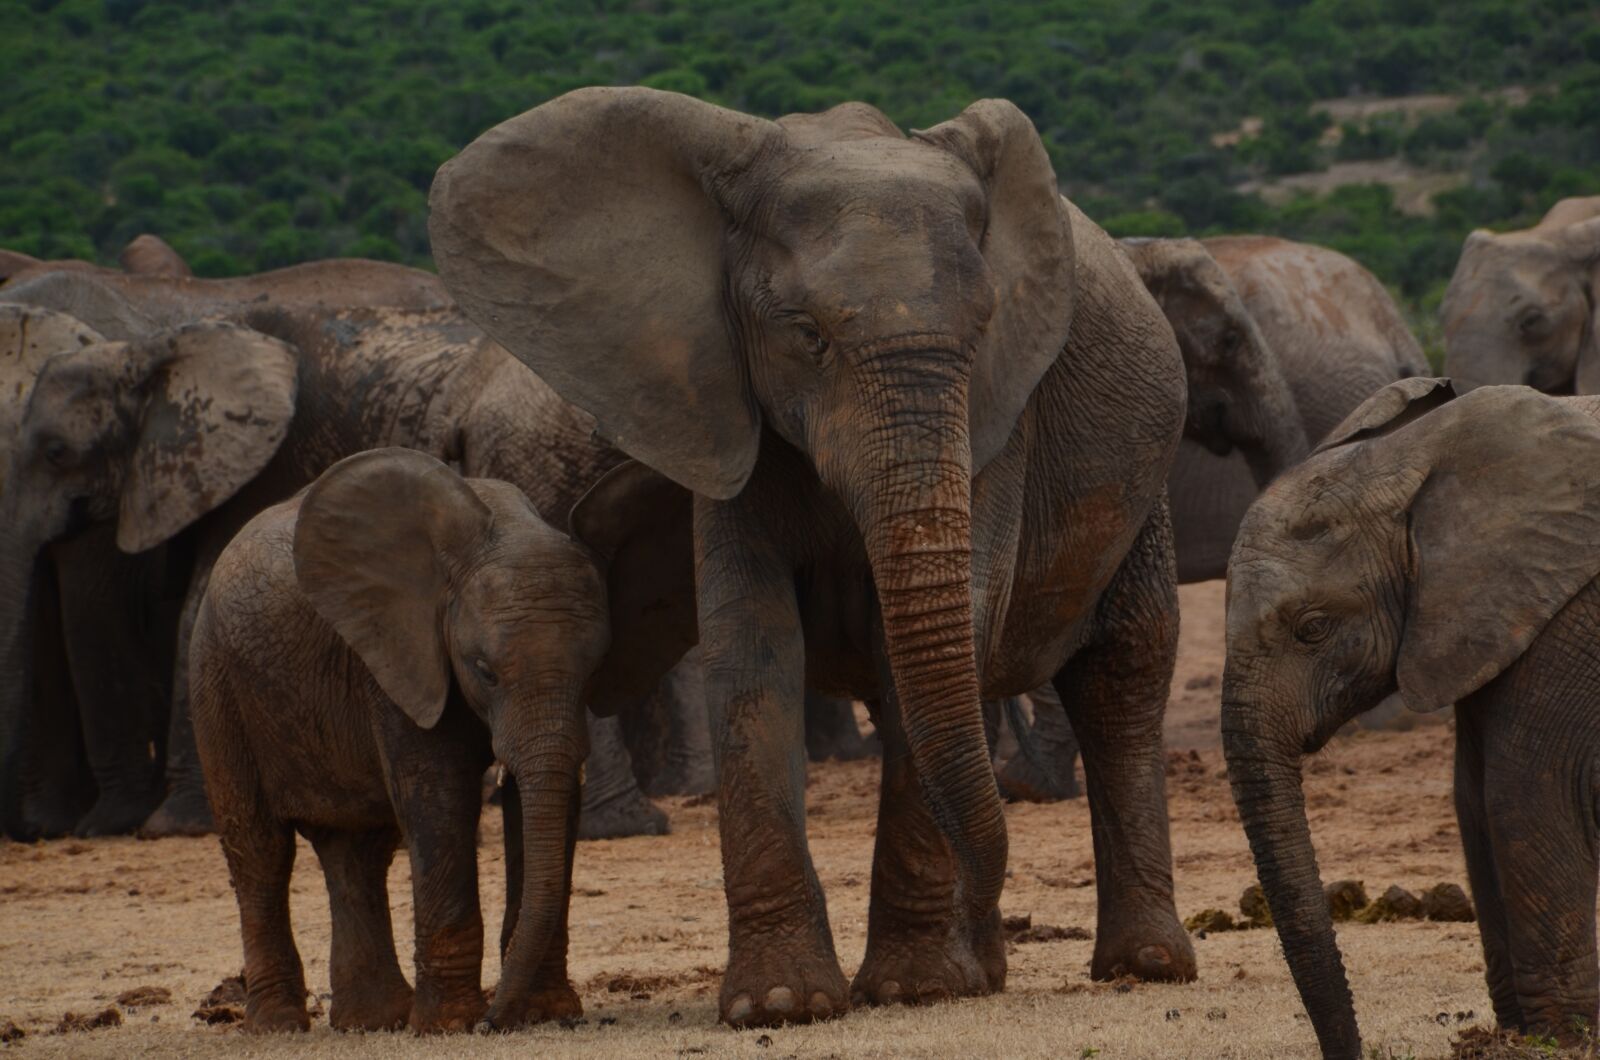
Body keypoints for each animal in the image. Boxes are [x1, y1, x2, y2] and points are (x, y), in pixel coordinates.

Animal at [191, 449, 693, 1033]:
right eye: (484, 670)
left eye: (595, 670)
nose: (493, 1022)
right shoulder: (400, 657)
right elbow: (439, 799)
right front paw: (450, 1026)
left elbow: (544, 803)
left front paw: (543, 1013)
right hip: (215, 679)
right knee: (259, 850)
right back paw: (280, 1026)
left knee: (358, 850)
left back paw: (373, 1021)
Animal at [431, 87, 1194, 1026]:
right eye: (806, 335)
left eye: (985, 329)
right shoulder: (720, 399)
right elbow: (752, 645)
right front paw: (782, 1002)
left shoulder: (1001, 418)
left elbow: (934, 648)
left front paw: (913, 989)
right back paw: (990, 970)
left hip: (1147, 486)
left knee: (1123, 672)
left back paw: (1141, 965)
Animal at [1222, 376, 1600, 1057]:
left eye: (1312, 628)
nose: (1355, 1052)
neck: (1419, 459)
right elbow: (1473, 798)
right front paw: (1515, 1036)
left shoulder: (1570, 614)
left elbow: (1530, 793)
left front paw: (1560, 1041)